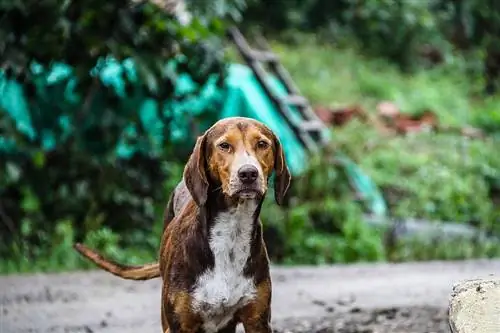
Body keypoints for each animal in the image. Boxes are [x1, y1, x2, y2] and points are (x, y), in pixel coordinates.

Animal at [74, 116, 292, 332]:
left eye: (262, 144)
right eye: (224, 145)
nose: (248, 173)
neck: (232, 231)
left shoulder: (257, 320)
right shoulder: (179, 324)